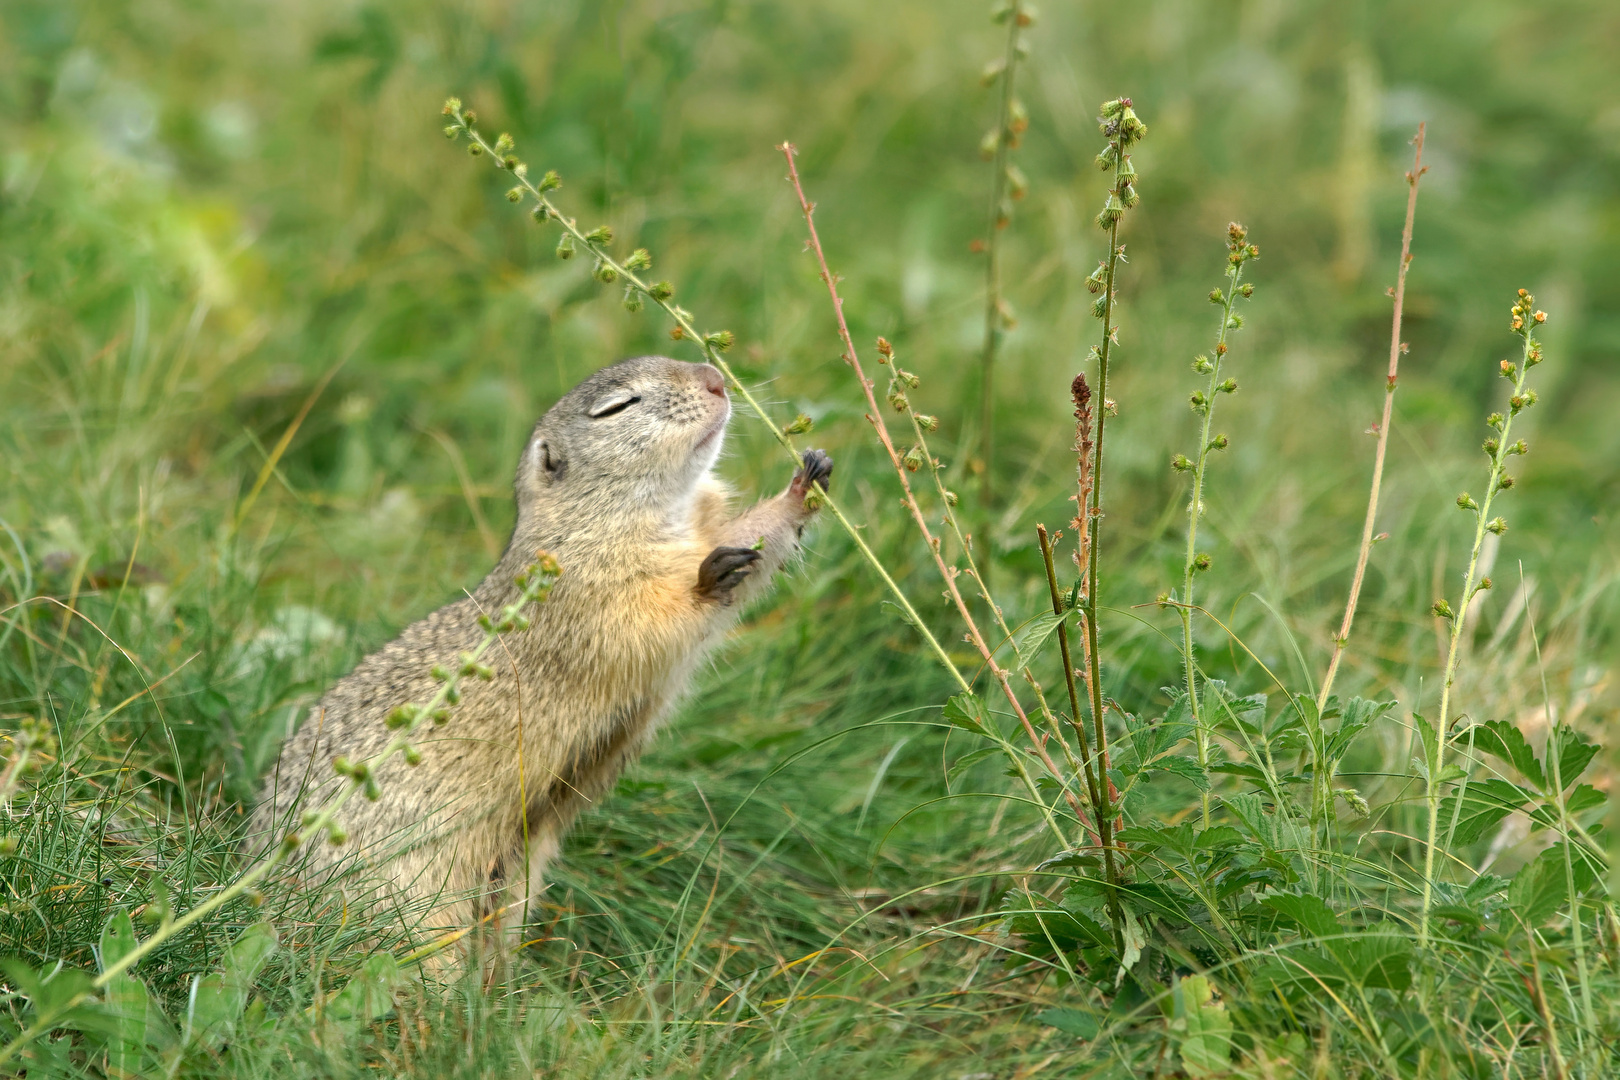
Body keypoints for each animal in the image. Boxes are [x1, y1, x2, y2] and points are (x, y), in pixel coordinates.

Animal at [259, 359, 835, 958]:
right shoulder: (591, 592)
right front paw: (711, 576)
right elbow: (654, 616)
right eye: (618, 406)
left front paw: (807, 480)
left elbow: (747, 546)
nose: (714, 376)